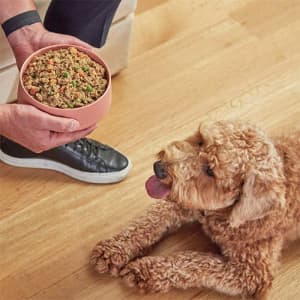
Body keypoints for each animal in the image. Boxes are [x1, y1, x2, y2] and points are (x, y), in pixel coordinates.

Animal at [89, 120, 300, 298]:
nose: (159, 168)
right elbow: (148, 222)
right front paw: (114, 249)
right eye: (201, 141)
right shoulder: (183, 205)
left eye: (210, 171)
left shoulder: (251, 274)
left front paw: (148, 271)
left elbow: (194, 262)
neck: (225, 214)